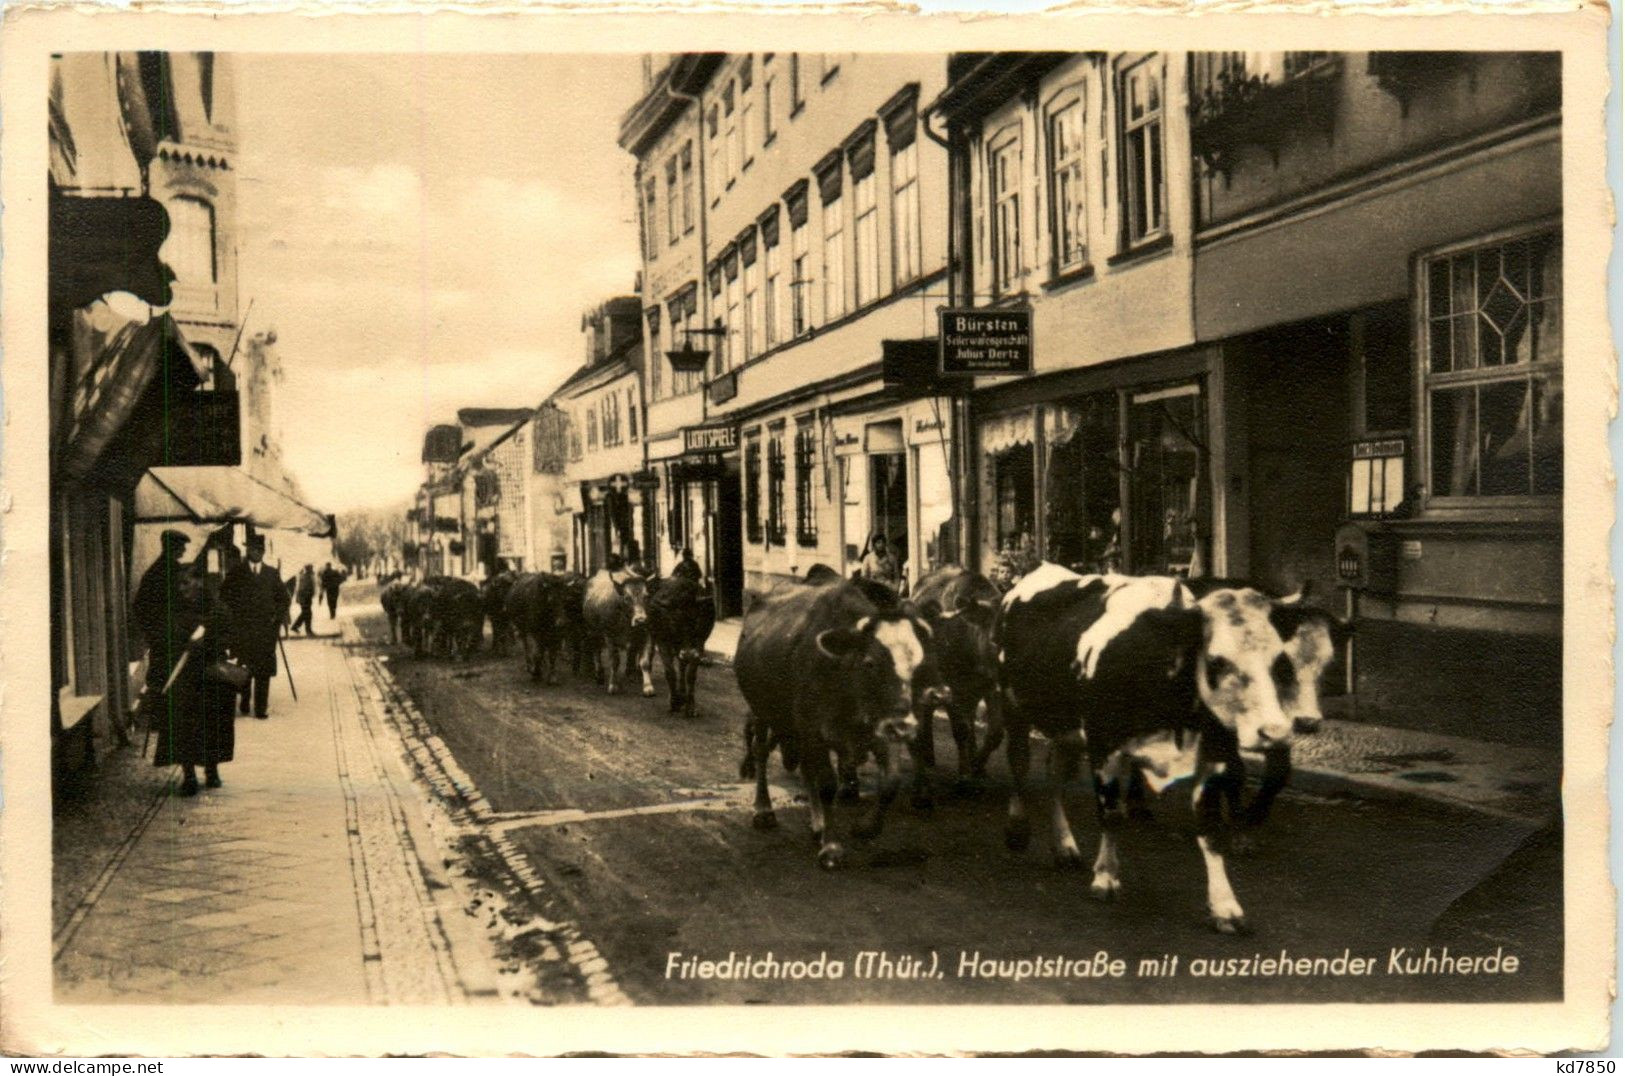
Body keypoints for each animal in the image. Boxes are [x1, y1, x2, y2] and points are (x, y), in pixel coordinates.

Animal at [994, 565, 1300, 936]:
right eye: (1216, 660)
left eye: (1278, 660)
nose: (1275, 731)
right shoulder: (1104, 743)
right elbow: (1111, 813)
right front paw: (1105, 877)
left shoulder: (1211, 757)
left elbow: (1210, 831)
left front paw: (1225, 907)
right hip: (1013, 706)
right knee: (1020, 764)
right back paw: (1018, 828)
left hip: (1065, 727)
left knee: (1055, 774)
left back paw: (1064, 845)